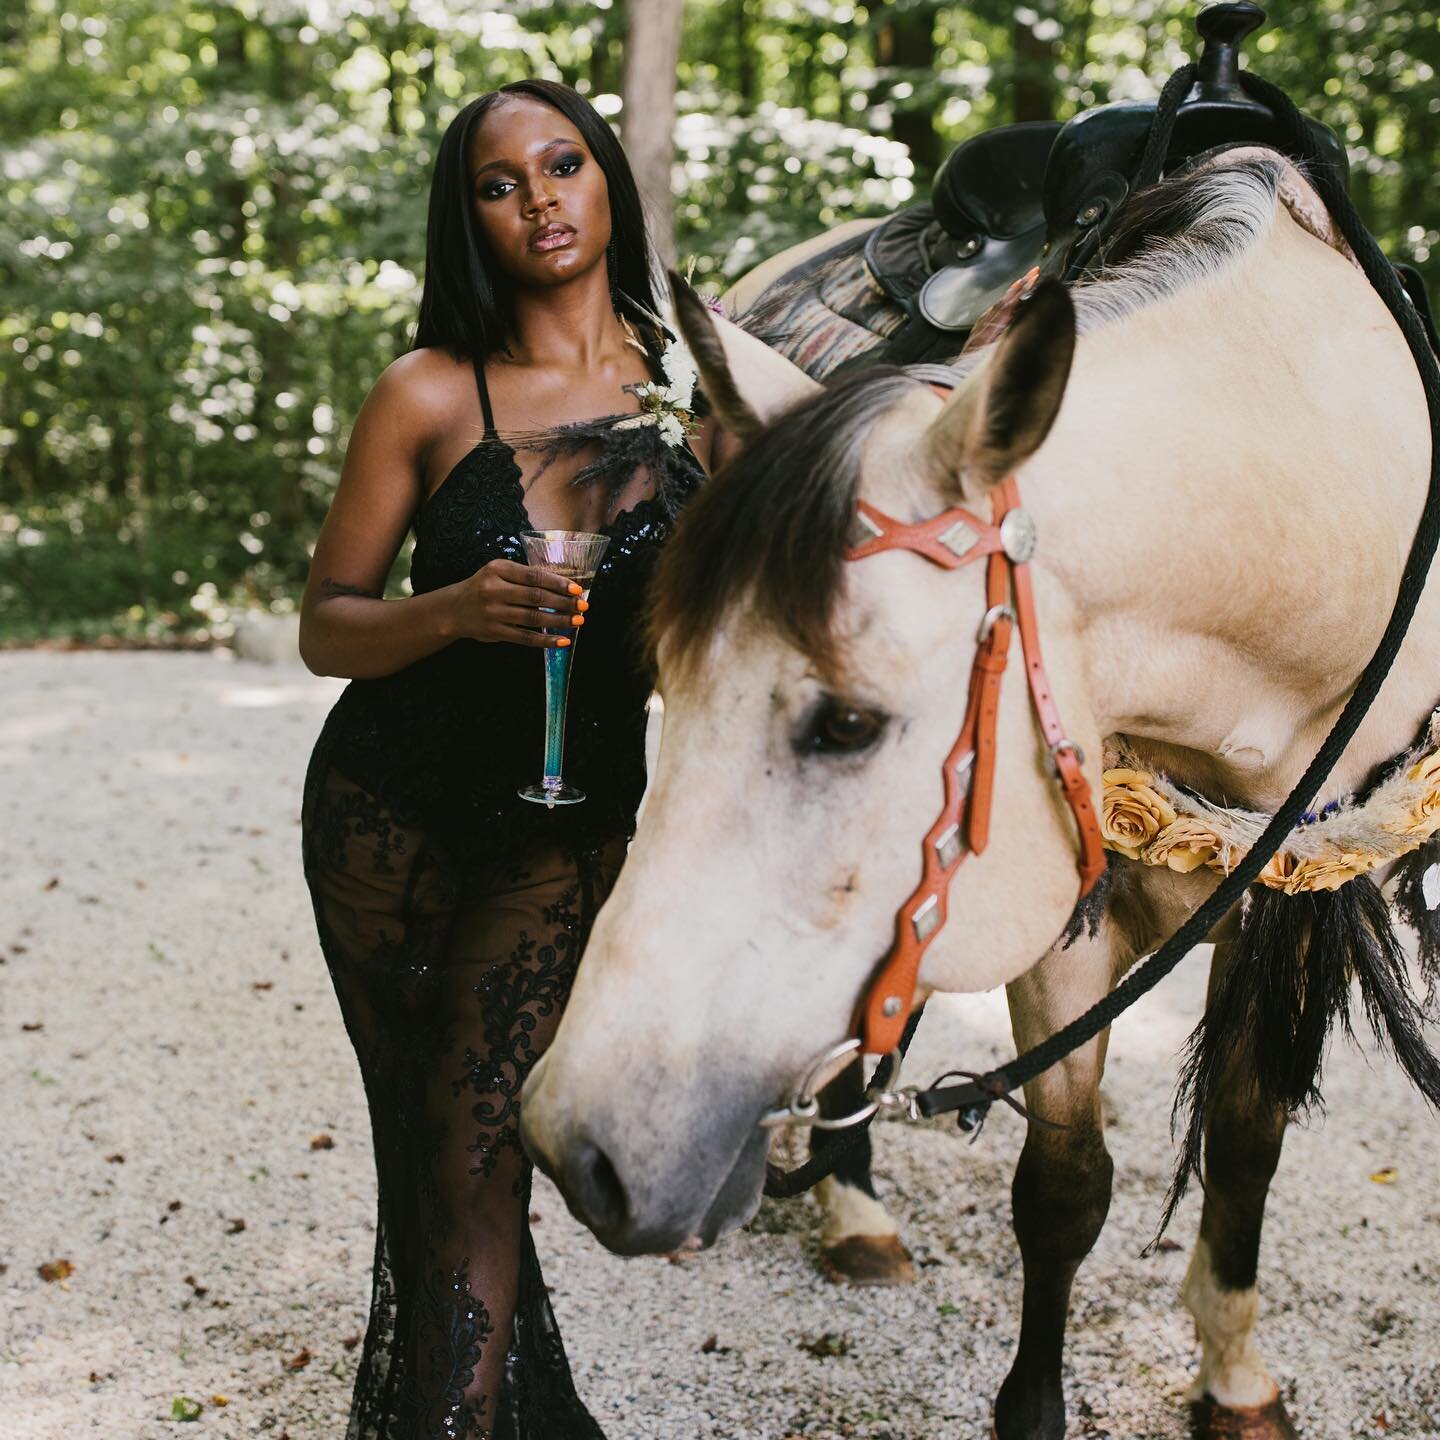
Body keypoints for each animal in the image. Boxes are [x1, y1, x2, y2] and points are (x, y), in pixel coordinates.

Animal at [518, 5, 1440, 1434]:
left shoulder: (1302, 884)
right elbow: (1064, 1184)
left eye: (850, 724)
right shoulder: (1066, 891)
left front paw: (1233, 1371)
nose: (579, 1145)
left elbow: (1246, 1142)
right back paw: (854, 1213)